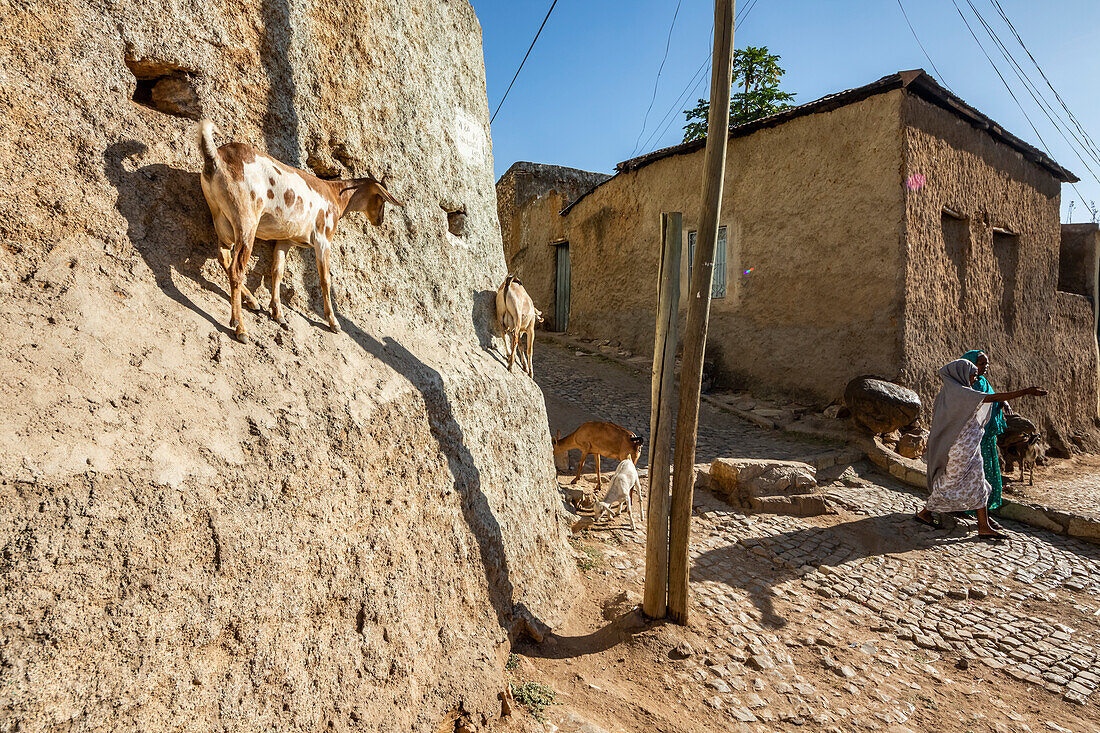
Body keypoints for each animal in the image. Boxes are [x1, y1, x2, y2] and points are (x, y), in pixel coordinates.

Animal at [198, 119, 404, 343]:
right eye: (382, 198)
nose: (379, 220)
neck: (335, 195)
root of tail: (216, 158)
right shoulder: (323, 239)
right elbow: (325, 279)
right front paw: (333, 322)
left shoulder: (285, 240)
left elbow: (277, 271)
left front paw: (278, 313)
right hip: (246, 221)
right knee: (237, 269)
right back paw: (240, 327)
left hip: (221, 220)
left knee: (224, 259)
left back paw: (252, 301)